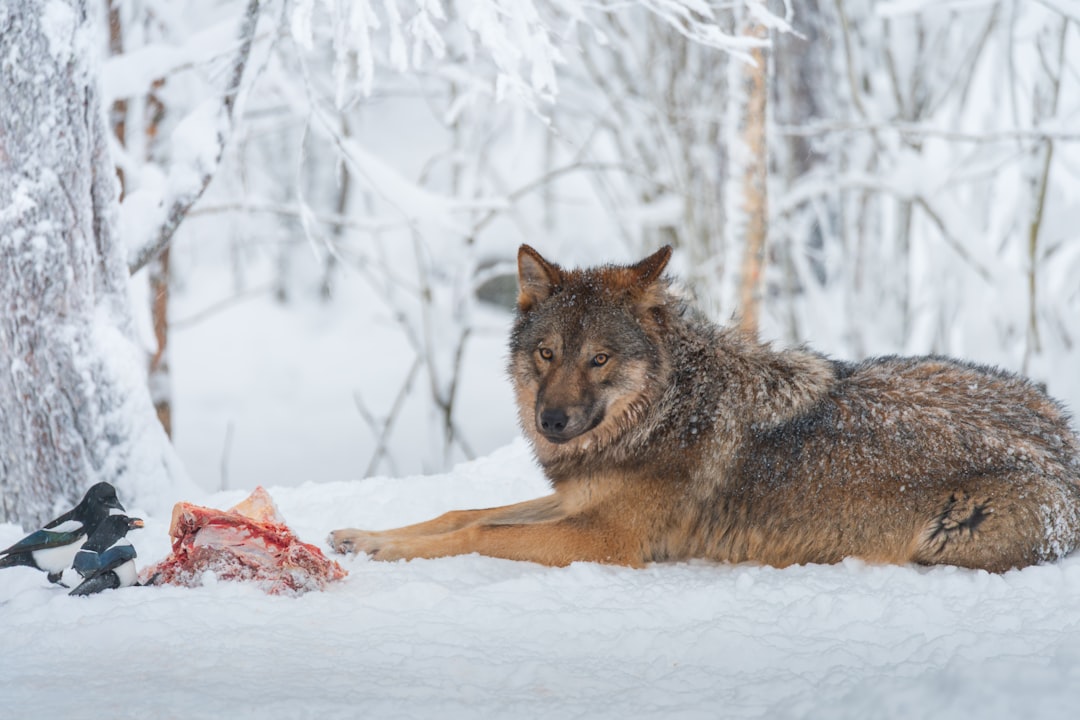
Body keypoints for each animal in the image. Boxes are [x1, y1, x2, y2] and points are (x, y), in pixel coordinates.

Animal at [330, 245, 1080, 572]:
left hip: (947, 540)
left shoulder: (604, 541)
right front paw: (365, 535)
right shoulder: (578, 504)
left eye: (598, 359)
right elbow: (460, 514)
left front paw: (388, 548)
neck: (662, 413)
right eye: (546, 354)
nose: (551, 423)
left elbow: (479, 531)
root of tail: (1067, 441)